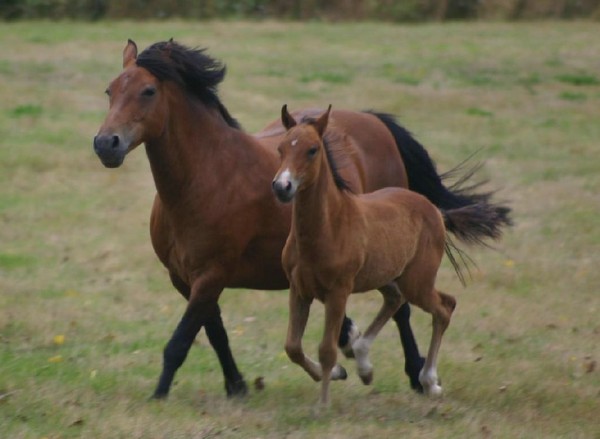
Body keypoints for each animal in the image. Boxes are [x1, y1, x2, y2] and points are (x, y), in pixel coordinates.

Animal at [272, 106, 464, 406]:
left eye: (312, 150)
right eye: (280, 148)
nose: (282, 186)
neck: (330, 225)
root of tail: (432, 208)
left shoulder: (338, 292)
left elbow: (327, 349)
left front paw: (323, 404)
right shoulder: (299, 289)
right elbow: (292, 346)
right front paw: (338, 373)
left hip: (417, 282)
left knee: (444, 307)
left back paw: (429, 381)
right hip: (387, 276)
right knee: (398, 299)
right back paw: (366, 363)